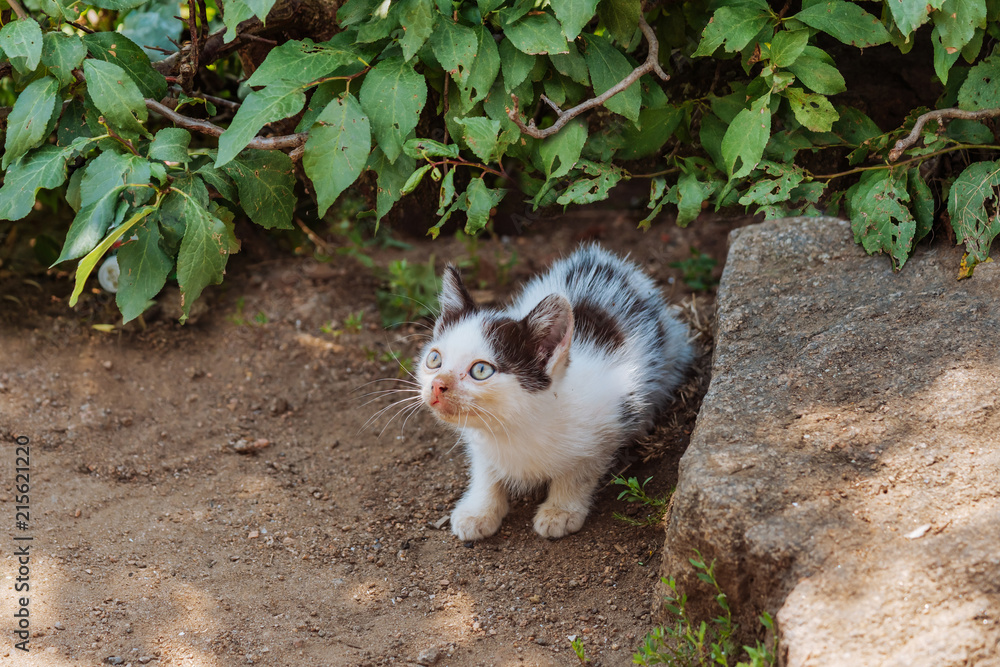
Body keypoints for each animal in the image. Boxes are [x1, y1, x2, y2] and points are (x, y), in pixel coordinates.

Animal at [418, 245, 692, 544]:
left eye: (481, 370)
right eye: (434, 359)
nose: (437, 385)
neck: (519, 426)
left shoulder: (607, 424)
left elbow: (579, 471)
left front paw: (560, 511)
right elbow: (485, 469)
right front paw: (479, 510)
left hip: (672, 352)